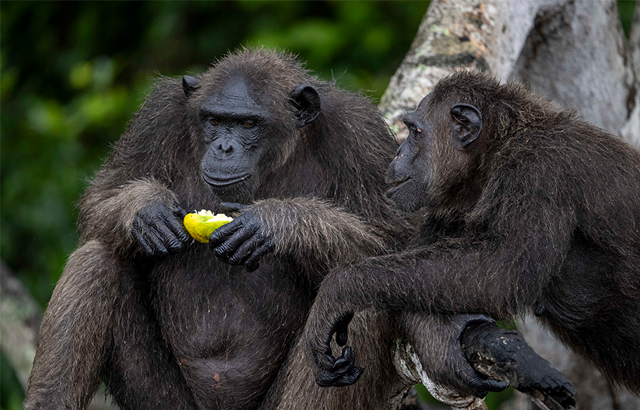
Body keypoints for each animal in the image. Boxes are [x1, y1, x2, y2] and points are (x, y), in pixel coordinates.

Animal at [23, 48, 520, 410]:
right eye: (214, 120)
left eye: (247, 124)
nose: (224, 146)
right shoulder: (158, 117)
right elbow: (101, 197)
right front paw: (146, 210)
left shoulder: (359, 134)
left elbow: (398, 242)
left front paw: (277, 223)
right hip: (163, 403)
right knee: (98, 257)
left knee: (361, 296)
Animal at [304, 71, 640, 398]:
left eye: (414, 131)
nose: (398, 151)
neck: (494, 154)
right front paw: (443, 347)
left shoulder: (540, 171)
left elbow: (500, 271)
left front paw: (336, 291)